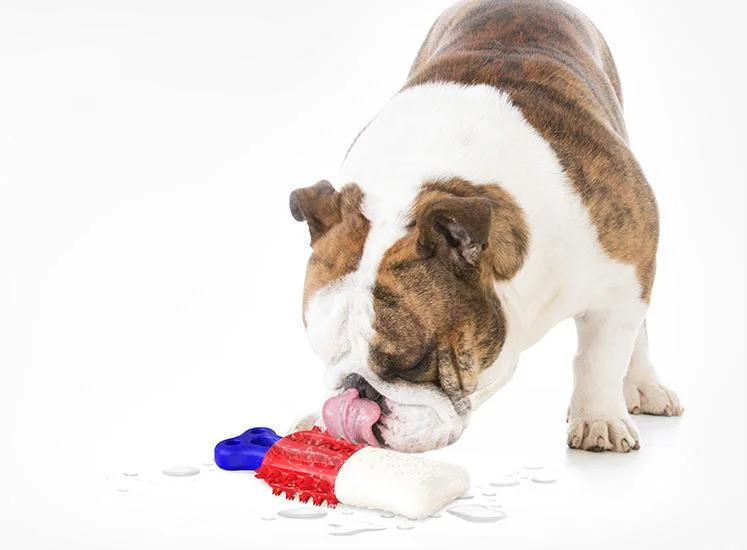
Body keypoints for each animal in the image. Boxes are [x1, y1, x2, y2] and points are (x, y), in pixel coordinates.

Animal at [290, 0, 684, 454]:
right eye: (324, 356)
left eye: (416, 362)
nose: (356, 390)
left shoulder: (624, 275)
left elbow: (600, 357)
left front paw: (599, 418)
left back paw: (645, 386)